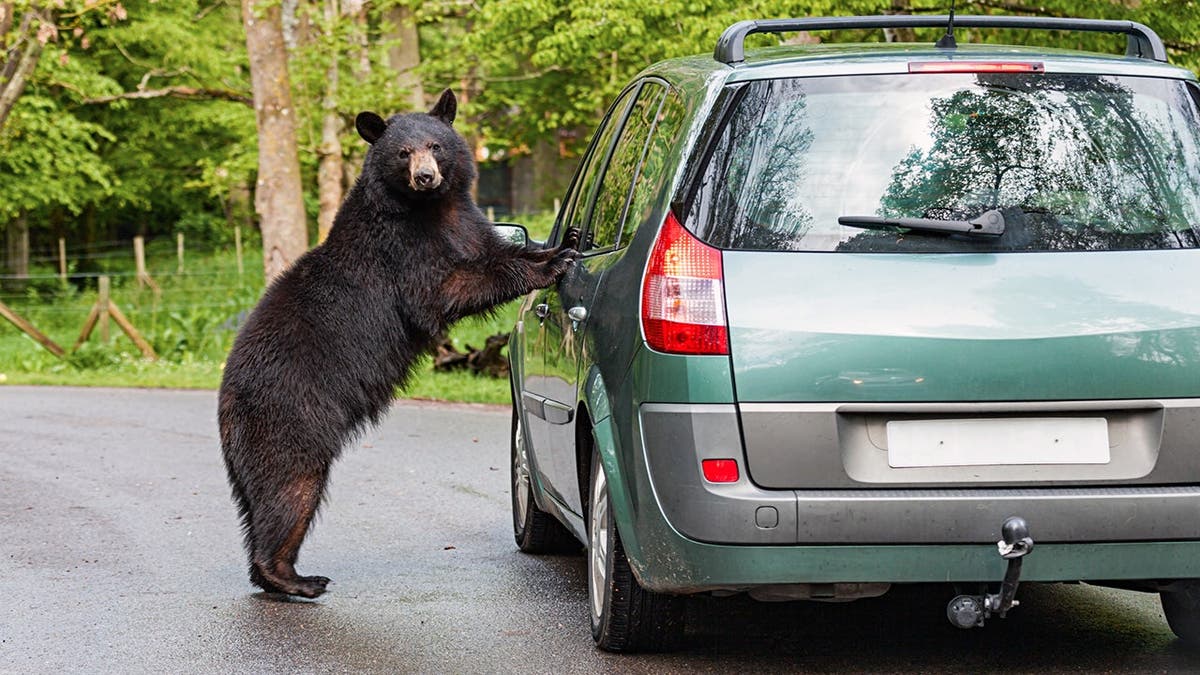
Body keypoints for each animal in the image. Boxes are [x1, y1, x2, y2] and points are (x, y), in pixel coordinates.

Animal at [218, 89, 577, 599]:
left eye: (435, 145)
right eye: (403, 152)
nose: (426, 177)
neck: (429, 209)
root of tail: (226, 400)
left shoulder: (466, 222)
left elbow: (492, 249)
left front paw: (557, 245)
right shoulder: (401, 249)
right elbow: (444, 288)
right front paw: (551, 264)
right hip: (289, 415)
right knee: (289, 488)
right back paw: (295, 577)